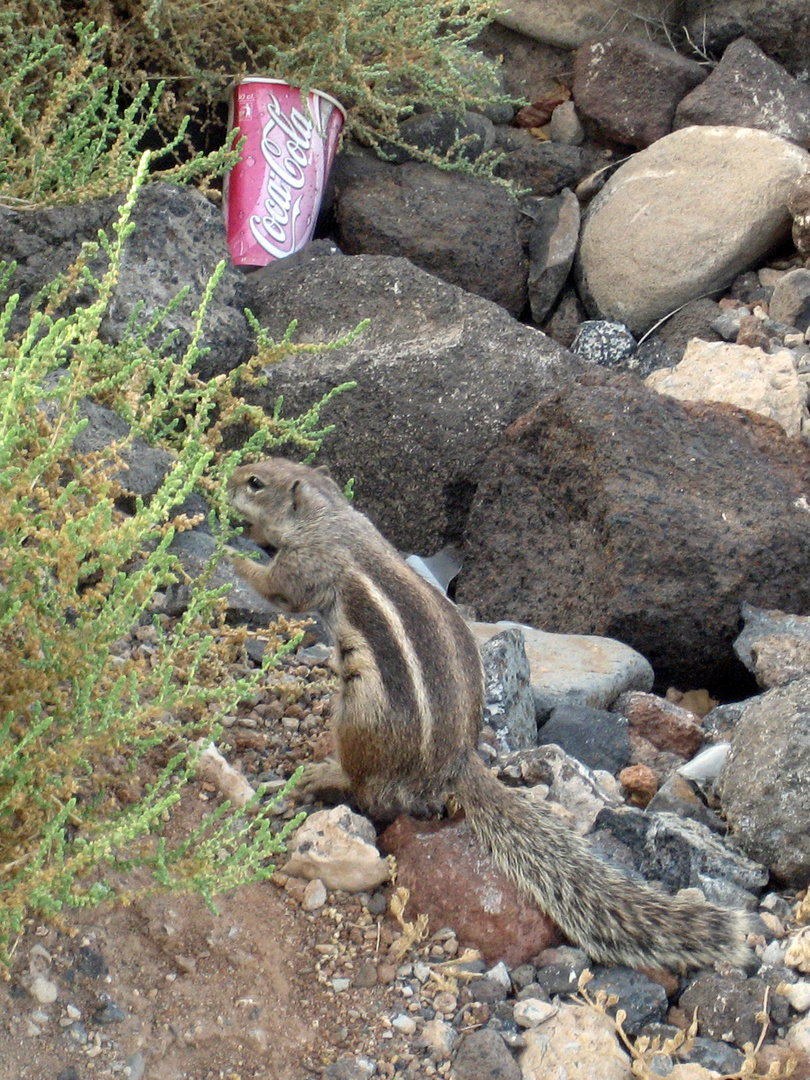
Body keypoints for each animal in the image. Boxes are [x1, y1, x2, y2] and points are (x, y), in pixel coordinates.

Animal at [228, 455, 756, 972]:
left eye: (256, 481)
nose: (227, 478)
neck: (328, 516)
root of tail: (457, 762)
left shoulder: (308, 565)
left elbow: (278, 589)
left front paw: (234, 554)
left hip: (358, 718)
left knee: (366, 787)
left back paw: (324, 774)